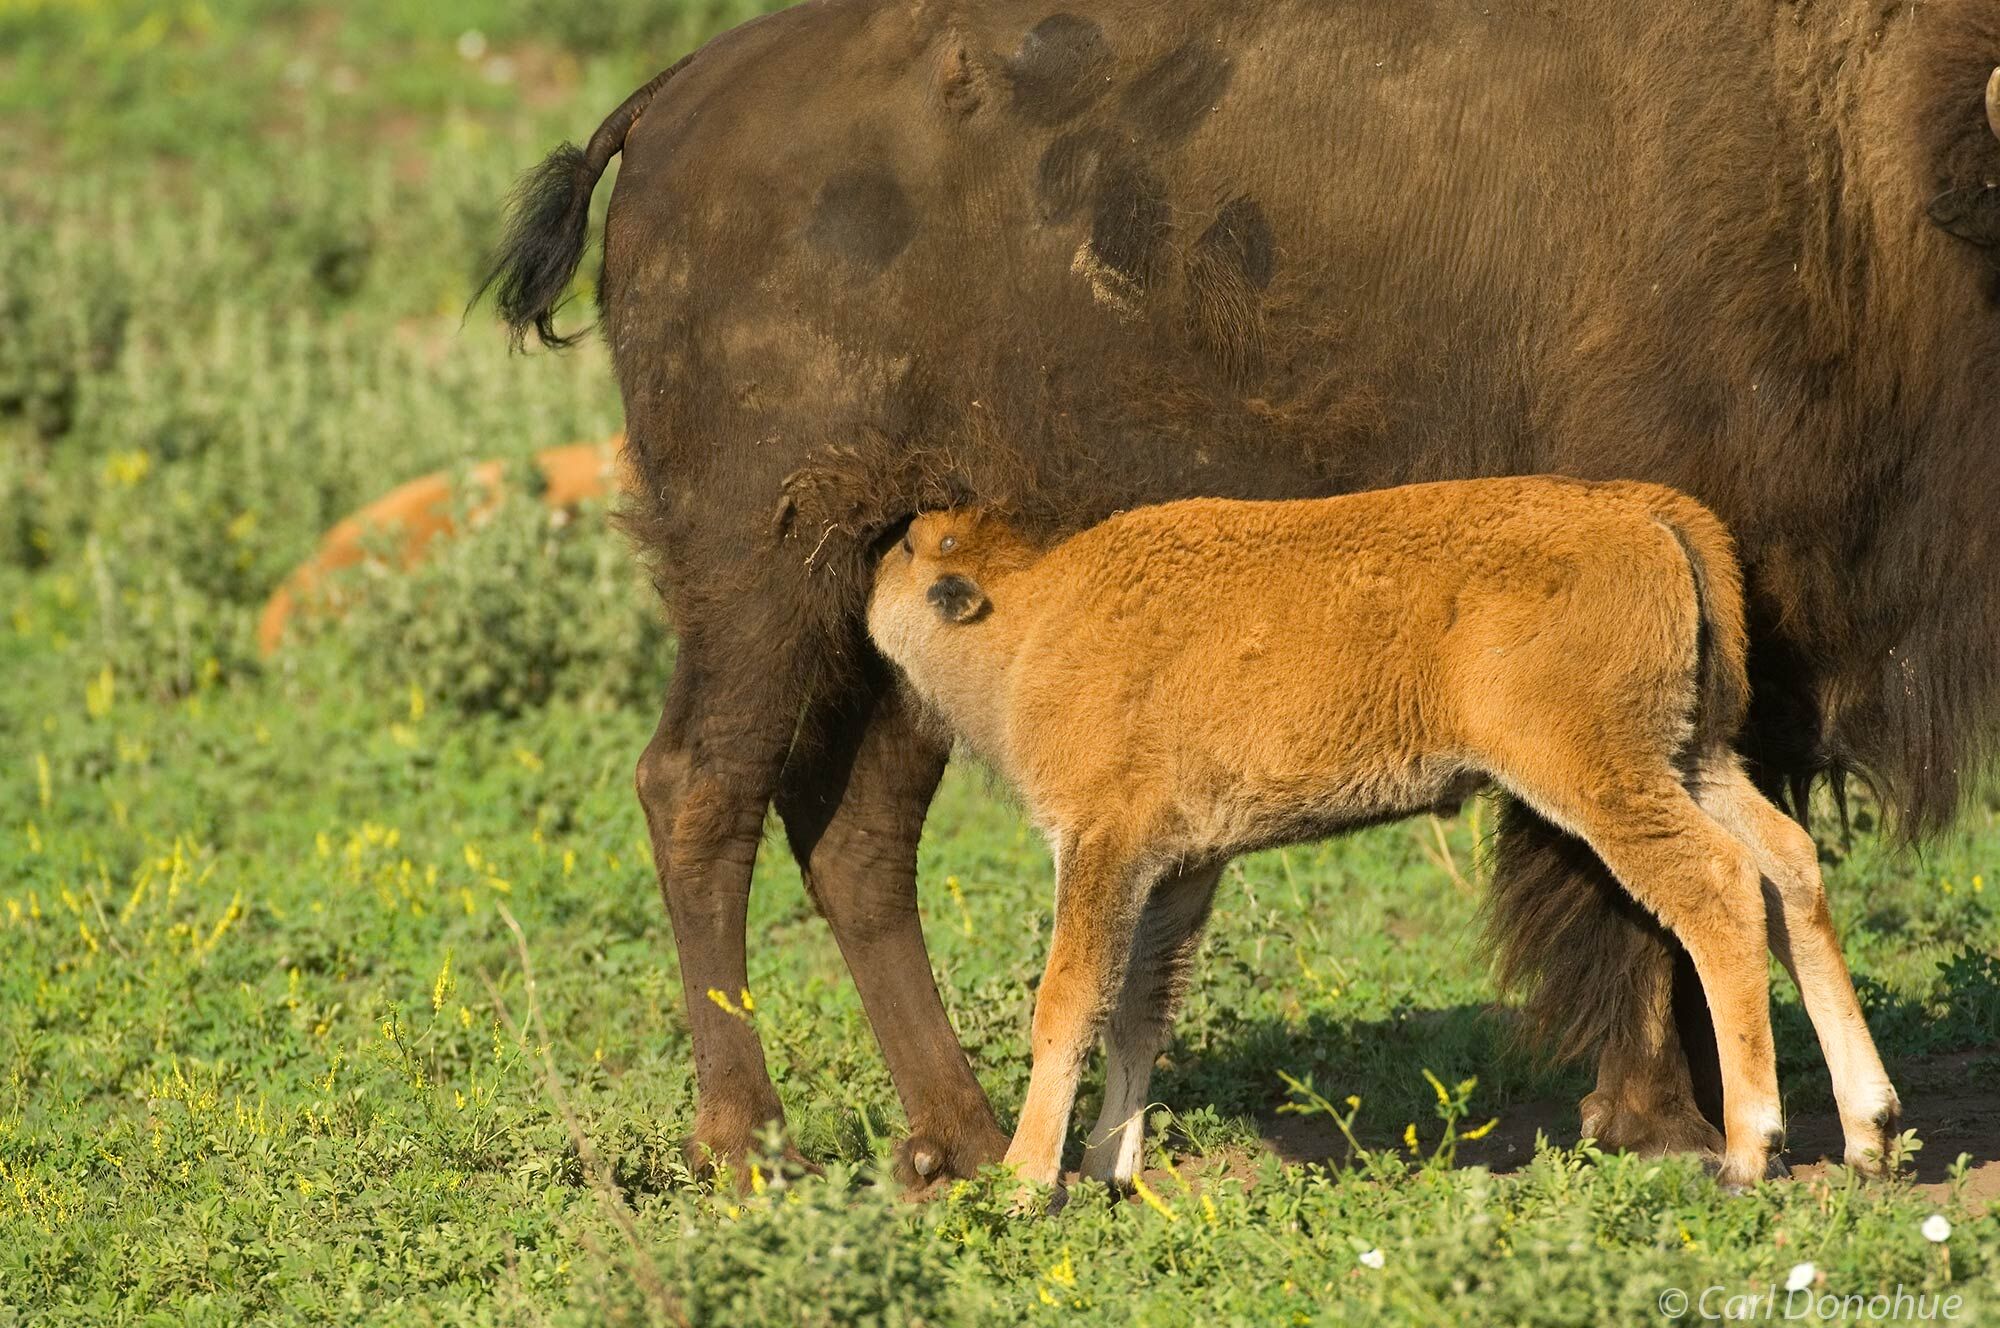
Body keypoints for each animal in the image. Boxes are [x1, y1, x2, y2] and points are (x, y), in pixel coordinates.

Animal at [876, 478, 1904, 1192]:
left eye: (915, 549)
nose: (877, 557)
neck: (1032, 615)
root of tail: (1643, 510)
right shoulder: (1179, 872)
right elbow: (1138, 1010)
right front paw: (1106, 1170)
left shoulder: (1102, 847)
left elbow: (1069, 1001)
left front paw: (1021, 1182)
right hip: (1688, 756)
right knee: (1788, 866)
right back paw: (1870, 1133)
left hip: (1601, 776)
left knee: (1718, 887)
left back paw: (1749, 1152)